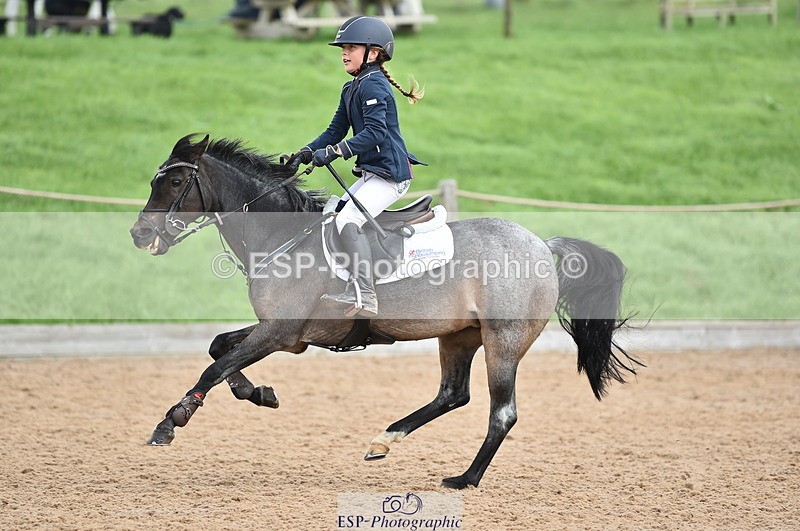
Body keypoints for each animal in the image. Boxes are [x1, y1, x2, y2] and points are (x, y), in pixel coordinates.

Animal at [129, 133, 641, 489]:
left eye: (175, 182)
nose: (138, 234)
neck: (282, 237)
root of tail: (540, 243)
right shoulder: (286, 336)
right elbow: (220, 350)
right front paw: (257, 392)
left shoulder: (279, 332)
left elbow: (214, 368)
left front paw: (171, 422)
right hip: (458, 335)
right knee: (453, 394)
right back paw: (386, 440)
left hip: (503, 341)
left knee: (502, 413)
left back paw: (465, 479)